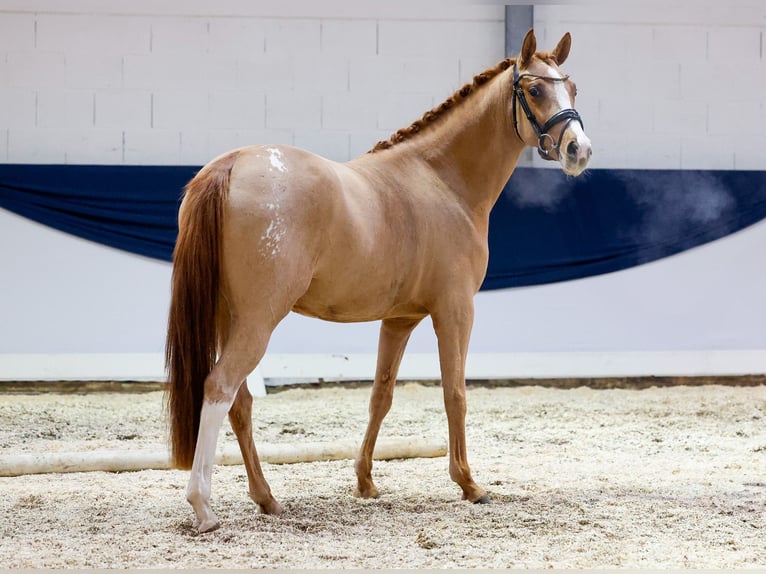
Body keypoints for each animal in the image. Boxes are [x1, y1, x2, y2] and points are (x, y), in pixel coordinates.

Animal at [165, 29, 592, 532]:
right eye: (535, 90)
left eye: (573, 88)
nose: (579, 150)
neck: (440, 180)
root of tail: (229, 165)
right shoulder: (455, 312)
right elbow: (455, 394)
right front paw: (469, 484)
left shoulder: (400, 319)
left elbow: (380, 396)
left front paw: (365, 481)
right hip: (258, 320)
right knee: (220, 387)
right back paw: (203, 505)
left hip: (226, 317)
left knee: (240, 402)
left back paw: (267, 498)